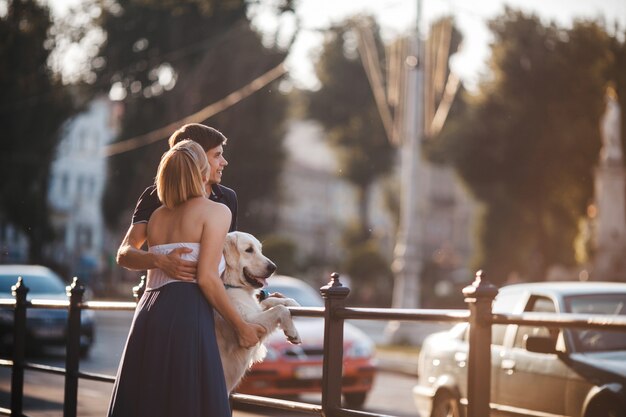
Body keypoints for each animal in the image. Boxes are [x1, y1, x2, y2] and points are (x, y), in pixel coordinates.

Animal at [216, 231, 302, 390]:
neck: (229, 285)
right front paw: (292, 333)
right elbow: (280, 310)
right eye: (249, 250)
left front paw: (292, 302)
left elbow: (269, 301)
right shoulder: (247, 324)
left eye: (260, 249)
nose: (273, 267)